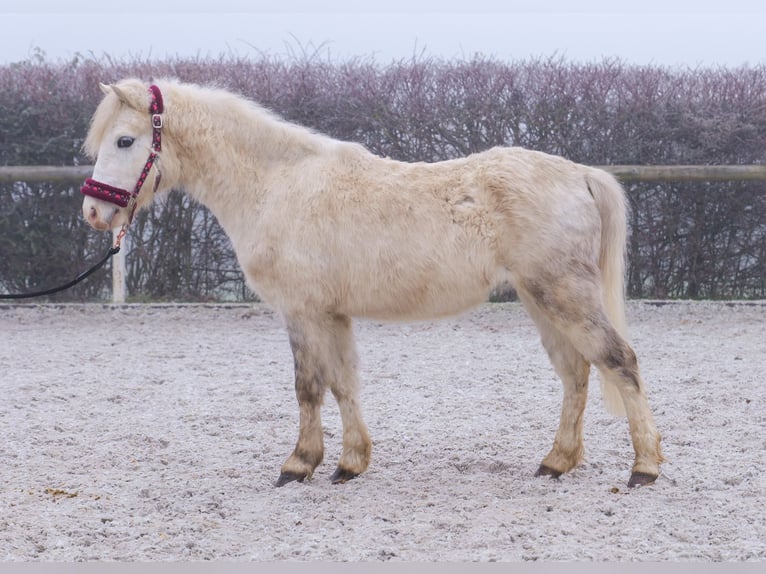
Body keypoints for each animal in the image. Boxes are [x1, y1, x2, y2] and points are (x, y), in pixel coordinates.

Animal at [79, 77, 664, 490]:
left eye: (125, 140)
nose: (93, 212)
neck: (278, 185)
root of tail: (581, 174)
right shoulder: (333, 313)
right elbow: (344, 383)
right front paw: (350, 463)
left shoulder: (302, 311)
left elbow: (308, 386)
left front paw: (299, 464)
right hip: (542, 300)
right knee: (576, 374)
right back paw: (557, 462)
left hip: (563, 294)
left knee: (619, 361)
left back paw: (645, 467)